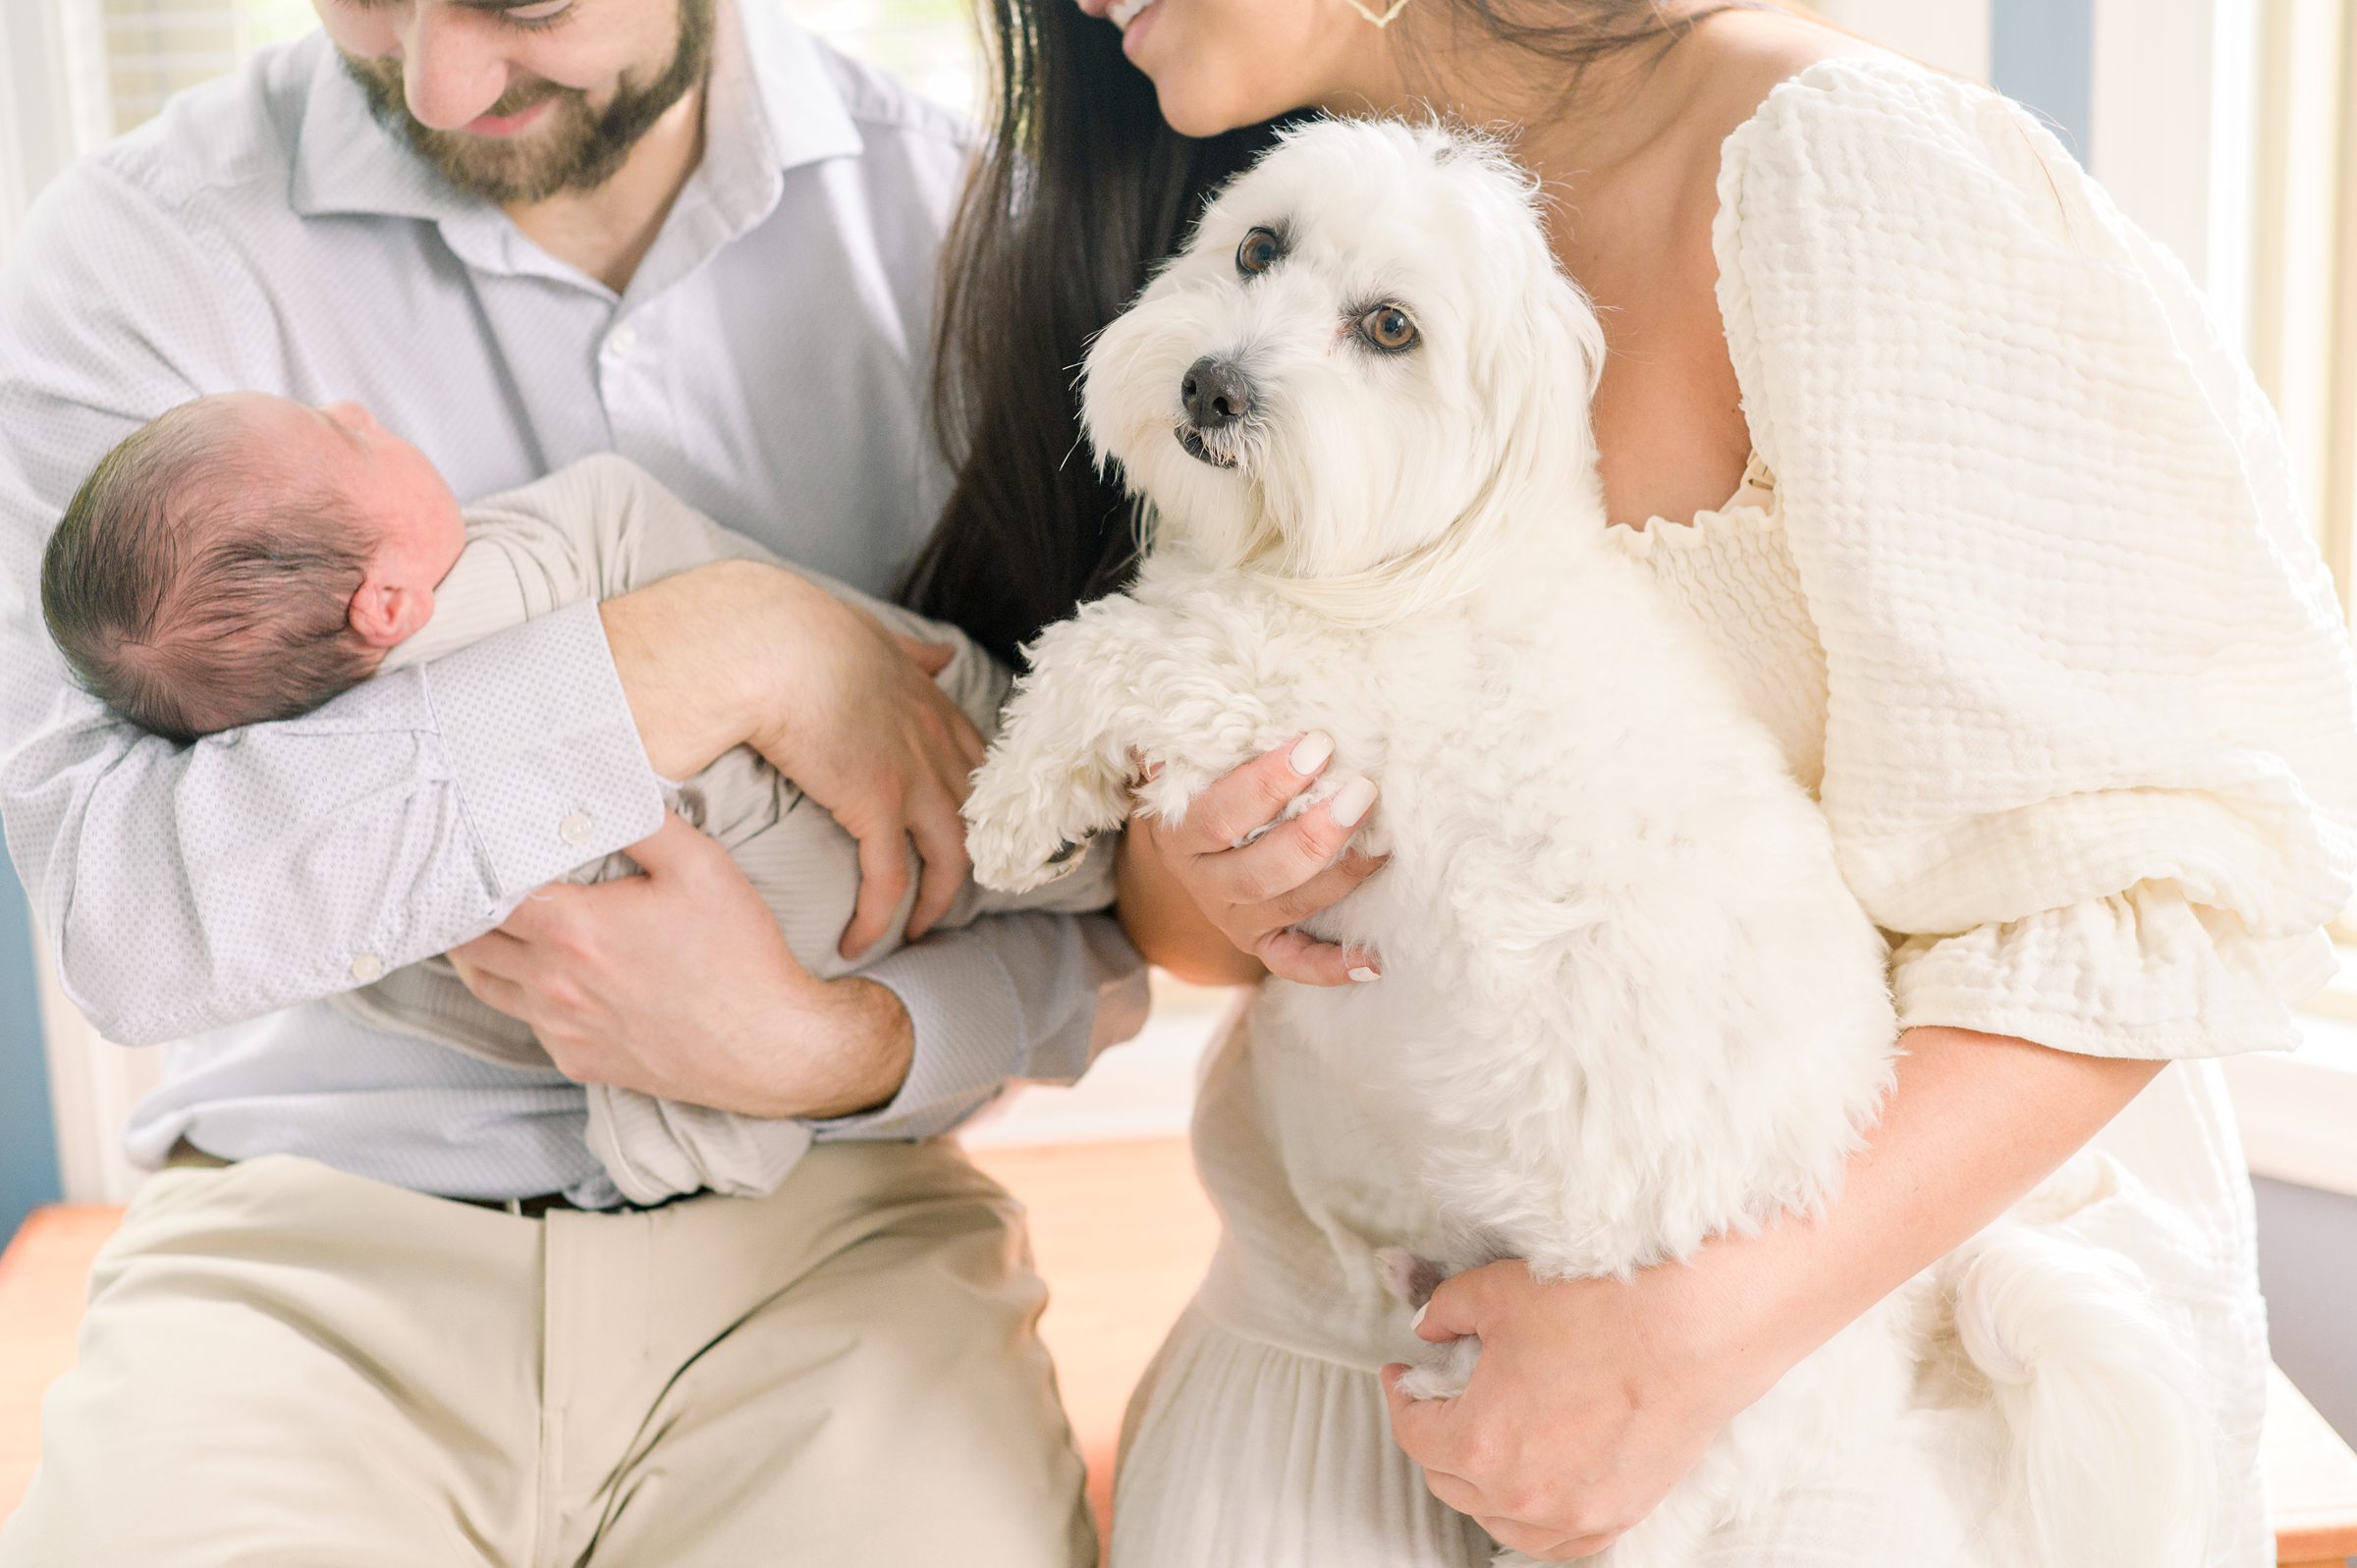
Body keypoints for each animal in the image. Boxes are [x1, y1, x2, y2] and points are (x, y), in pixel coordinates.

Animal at [966, 122, 2216, 1565]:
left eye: (1389, 329)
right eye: (1257, 246)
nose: (1212, 385)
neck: (1398, 568)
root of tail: (1880, 1385)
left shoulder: (1283, 709)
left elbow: (1104, 648)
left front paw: (1011, 809)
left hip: (1633, 1477)